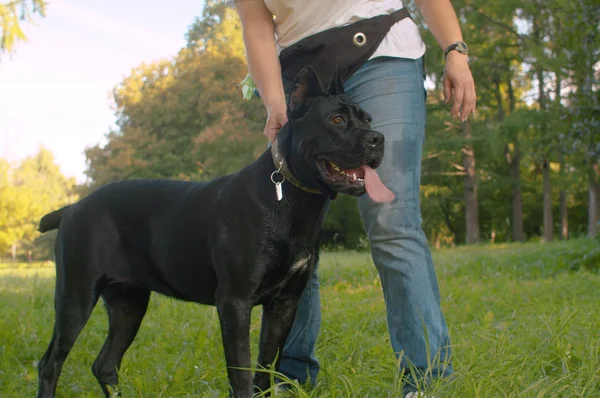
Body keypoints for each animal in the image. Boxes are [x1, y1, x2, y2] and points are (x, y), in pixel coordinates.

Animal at [36, 67, 394, 396]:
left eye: (368, 118)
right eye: (337, 120)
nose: (378, 138)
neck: (293, 199)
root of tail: (72, 208)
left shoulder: (284, 304)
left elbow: (264, 370)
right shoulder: (235, 302)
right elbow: (242, 373)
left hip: (129, 303)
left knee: (105, 364)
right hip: (76, 297)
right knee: (50, 363)